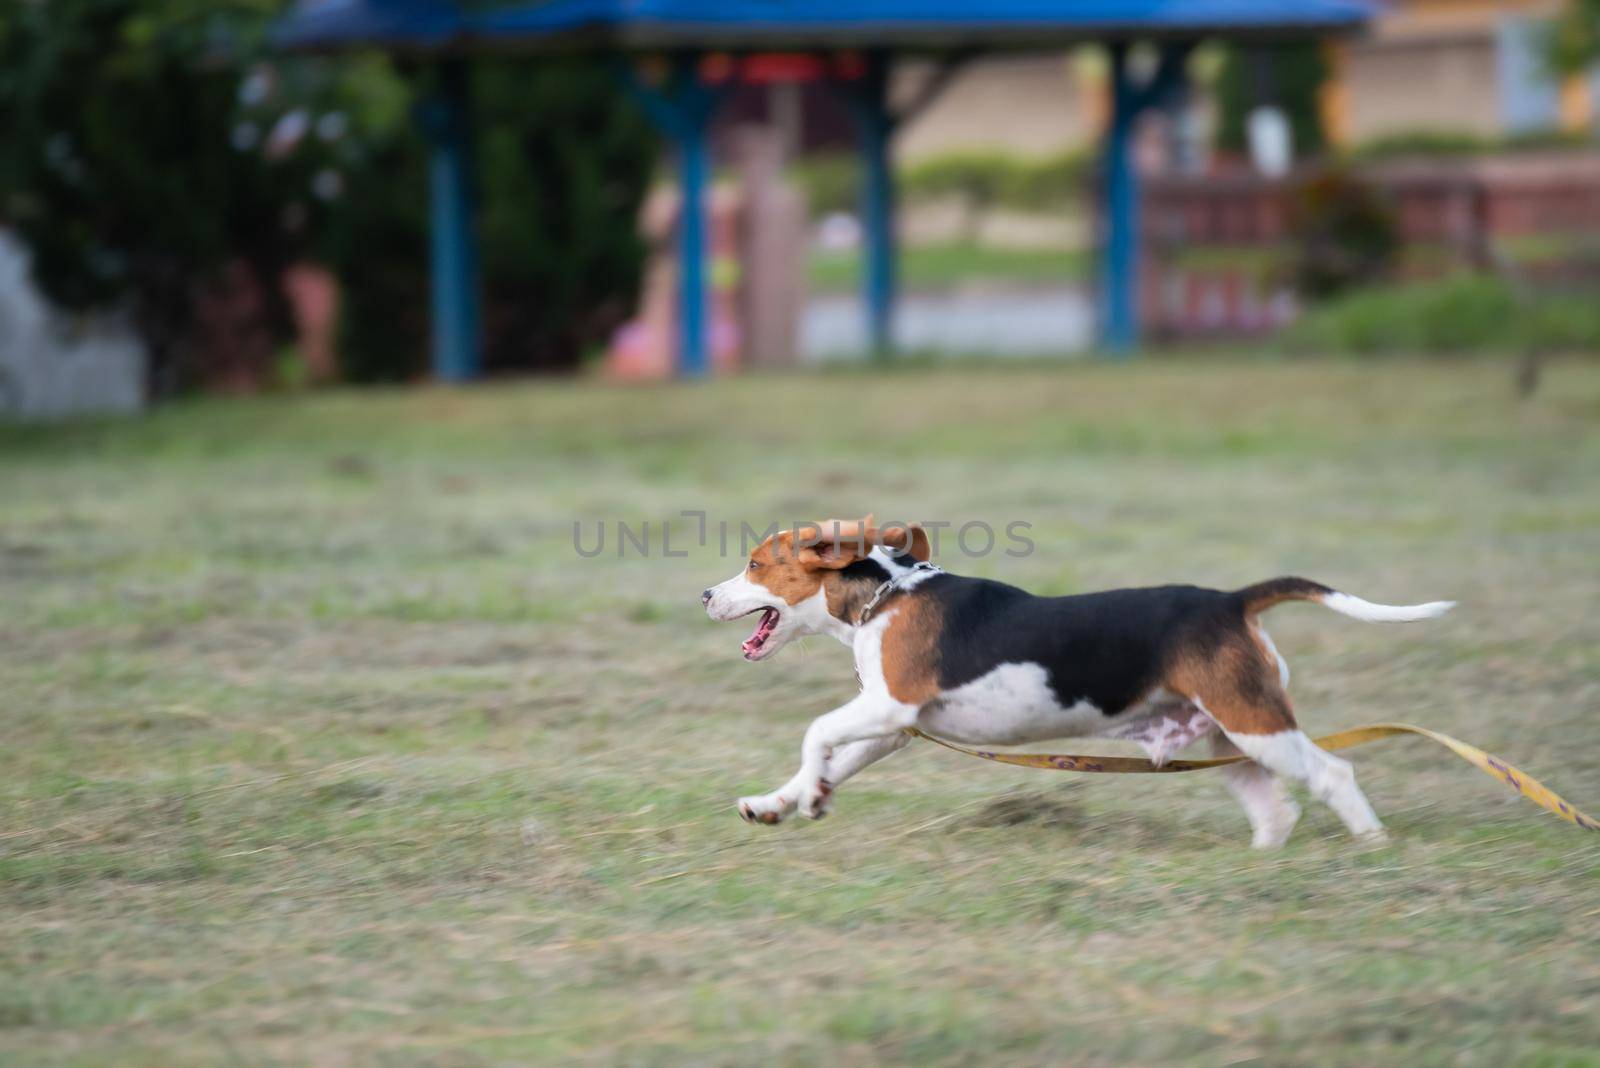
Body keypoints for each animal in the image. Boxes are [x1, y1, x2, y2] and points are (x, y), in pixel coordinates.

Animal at [700, 518, 1452, 850]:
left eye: (756, 564)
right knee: (1276, 810)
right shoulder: (894, 729)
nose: (705, 594)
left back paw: (1371, 846)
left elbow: (815, 733)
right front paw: (781, 802)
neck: (884, 594)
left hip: (1256, 723)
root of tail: (1230, 602)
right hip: (1224, 736)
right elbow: (830, 756)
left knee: (1333, 774)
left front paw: (809, 794)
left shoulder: (888, 706)